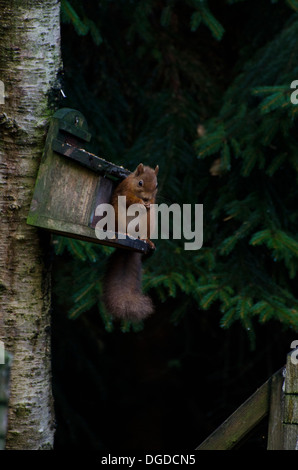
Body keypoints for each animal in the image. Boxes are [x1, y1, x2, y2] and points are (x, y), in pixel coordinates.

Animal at [103, 163, 158, 322]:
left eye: (156, 185)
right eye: (140, 183)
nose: (147, 198)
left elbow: (152, 203)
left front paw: (149, 204)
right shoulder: (124, 190)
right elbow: (129, 199)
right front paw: (139, 203)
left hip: (149, 221)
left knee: (144, 233)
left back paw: (147, 240)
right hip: (117, 215)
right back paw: (125, 233)